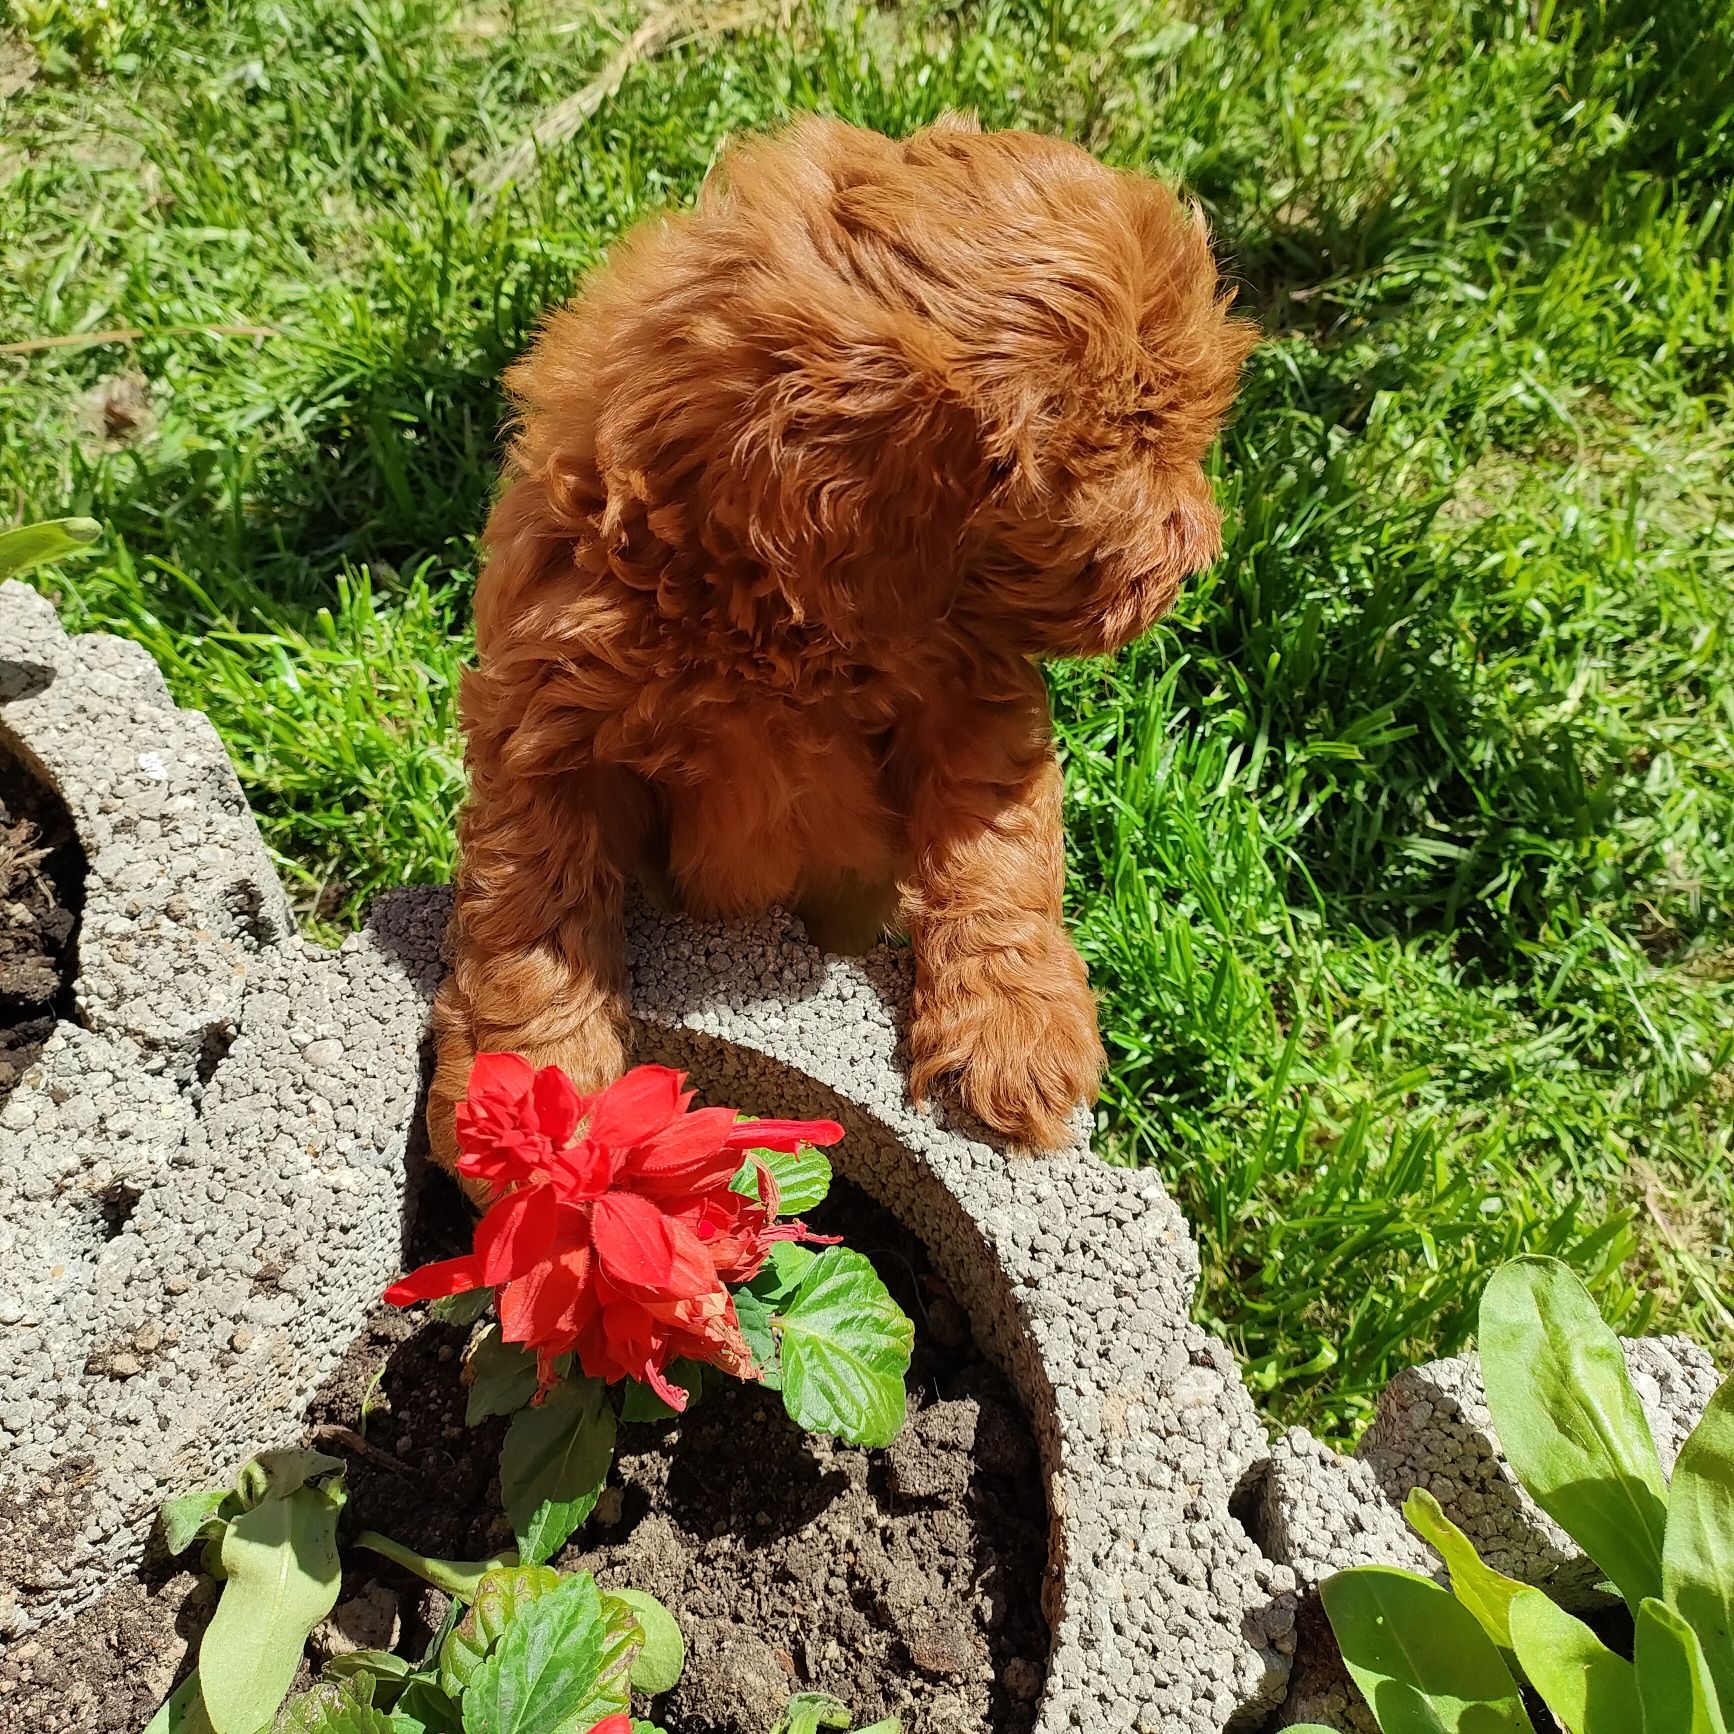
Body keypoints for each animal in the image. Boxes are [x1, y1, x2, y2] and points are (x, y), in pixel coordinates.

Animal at [428, 111, 1255, 1165]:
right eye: (1135, 439)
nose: (1198, 554)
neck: (769, 612)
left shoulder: (973, 697)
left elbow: (996, 853)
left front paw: (1015, 1030)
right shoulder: (548, 719)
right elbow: (535, 910)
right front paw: (531, 1101)